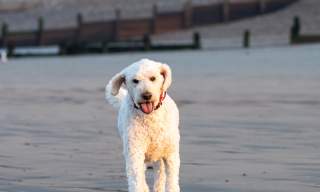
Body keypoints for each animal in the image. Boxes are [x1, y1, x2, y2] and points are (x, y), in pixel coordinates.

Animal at [105, 59, 179, 192]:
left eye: (153, 78)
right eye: (135, 81)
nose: (146, 95)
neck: (150, 115)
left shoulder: (170, 153)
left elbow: (171, 181)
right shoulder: (135, 151)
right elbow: (136, 179)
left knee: (160, 173)